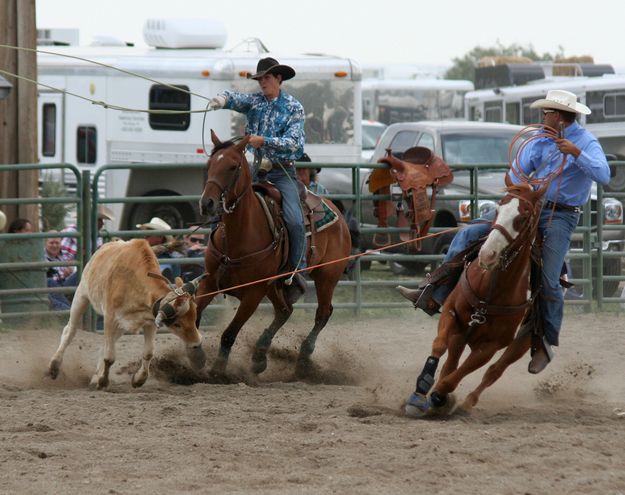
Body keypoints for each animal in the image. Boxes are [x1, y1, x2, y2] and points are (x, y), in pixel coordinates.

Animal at [47, 238, 207, 390]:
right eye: (177, 324)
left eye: (194, 317)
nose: (197, 343)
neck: (133, 281)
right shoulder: (110, 318)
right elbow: (109, 356)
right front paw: (103, 381)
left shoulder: (150, 322)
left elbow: (148, 353)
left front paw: (138, 379)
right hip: (82, 295)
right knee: (70, 331)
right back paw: (54, 367)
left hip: (121, 325)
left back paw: (94, 377)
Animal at [195, 131, 352, 376]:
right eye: (210, 164)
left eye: (232, 166)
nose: (207, 203)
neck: (239, 234)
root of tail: (336, 210)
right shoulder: (210, 281)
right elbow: (193, 315)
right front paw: (196, 356)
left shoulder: (254, 293)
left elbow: (229, 333)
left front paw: (218, 370)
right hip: (275, 285)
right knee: (285, 310)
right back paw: (260, 354)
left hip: (327, 276)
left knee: (322, 313)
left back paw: (303, 357)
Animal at [404, 178, 544, 418]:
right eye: (497, 210)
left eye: (522, 218)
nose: (487, 254)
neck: (492, 290)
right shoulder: (452, 315)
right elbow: (439, 346)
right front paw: (420, 391)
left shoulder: (490, 346)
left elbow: (459, 375)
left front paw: (440, 396)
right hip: (461, 335)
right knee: (452, 362)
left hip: (523, 341)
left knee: (494, 371)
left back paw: (465, 402)